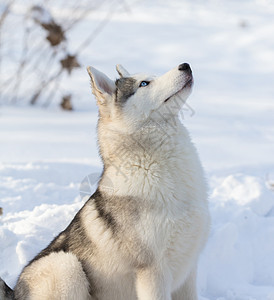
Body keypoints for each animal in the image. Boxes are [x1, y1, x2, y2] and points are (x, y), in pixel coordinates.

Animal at [0, 62, 210, 298]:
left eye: (152, 76)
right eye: (144, 84)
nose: (185, 65)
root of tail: (14, 292)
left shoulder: (188, 270)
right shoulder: (152, 272)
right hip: (67, 266)